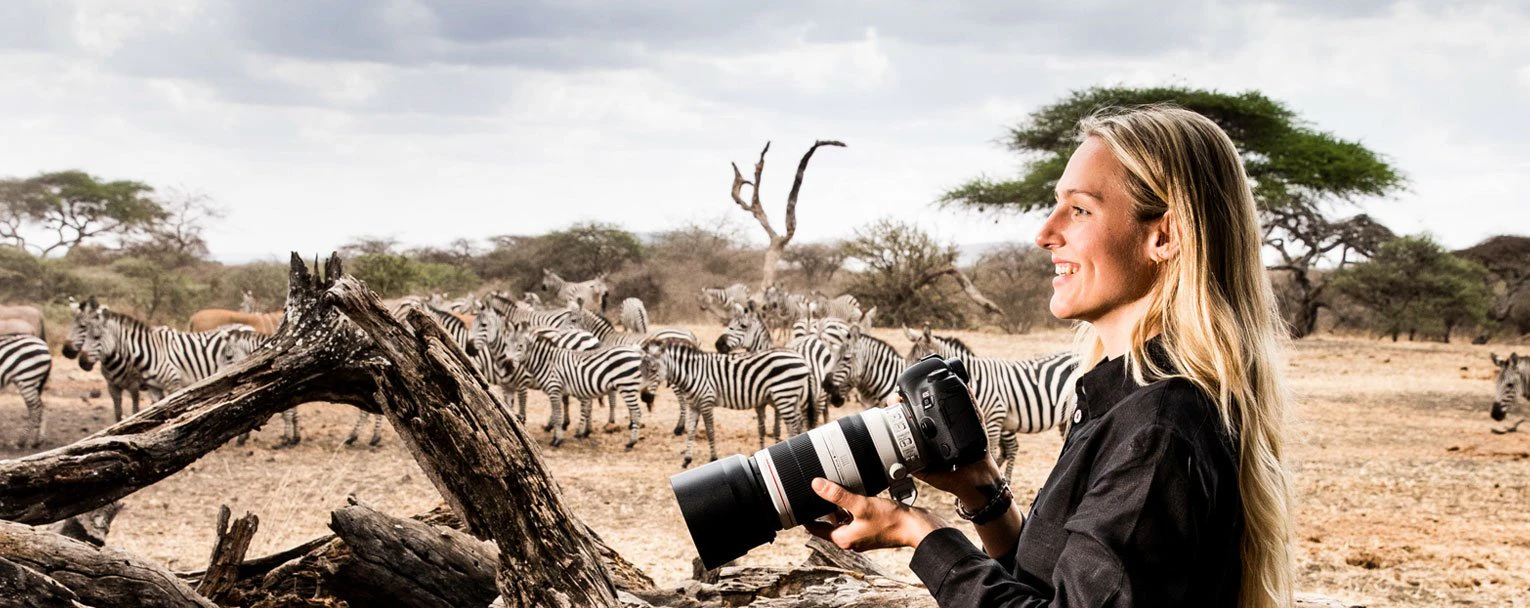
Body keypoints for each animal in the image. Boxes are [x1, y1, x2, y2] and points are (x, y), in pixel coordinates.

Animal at [503, 327, 646, 449]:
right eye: (506, 345)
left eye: (520, 346)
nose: (508, 366)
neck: (547, 362)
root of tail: (635, 351)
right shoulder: (558, 391)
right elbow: (556, 414)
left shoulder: (554, 388)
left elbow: (557, 415)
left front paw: (557, 440)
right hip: (627, 386)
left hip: (627, 386)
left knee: (637, 412)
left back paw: (631, 442)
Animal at [639, 340, 812, 468]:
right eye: (640, 370)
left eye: (653, 370)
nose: (644, 396)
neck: (692, 374)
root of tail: (801, 358)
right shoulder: (693, 405)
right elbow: (691, 432)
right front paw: (687, 459)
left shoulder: (706, 401)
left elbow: (710, 431)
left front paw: (713, 457)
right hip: (791, 397)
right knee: (797, 424)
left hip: (784, 394)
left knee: (792, 426)